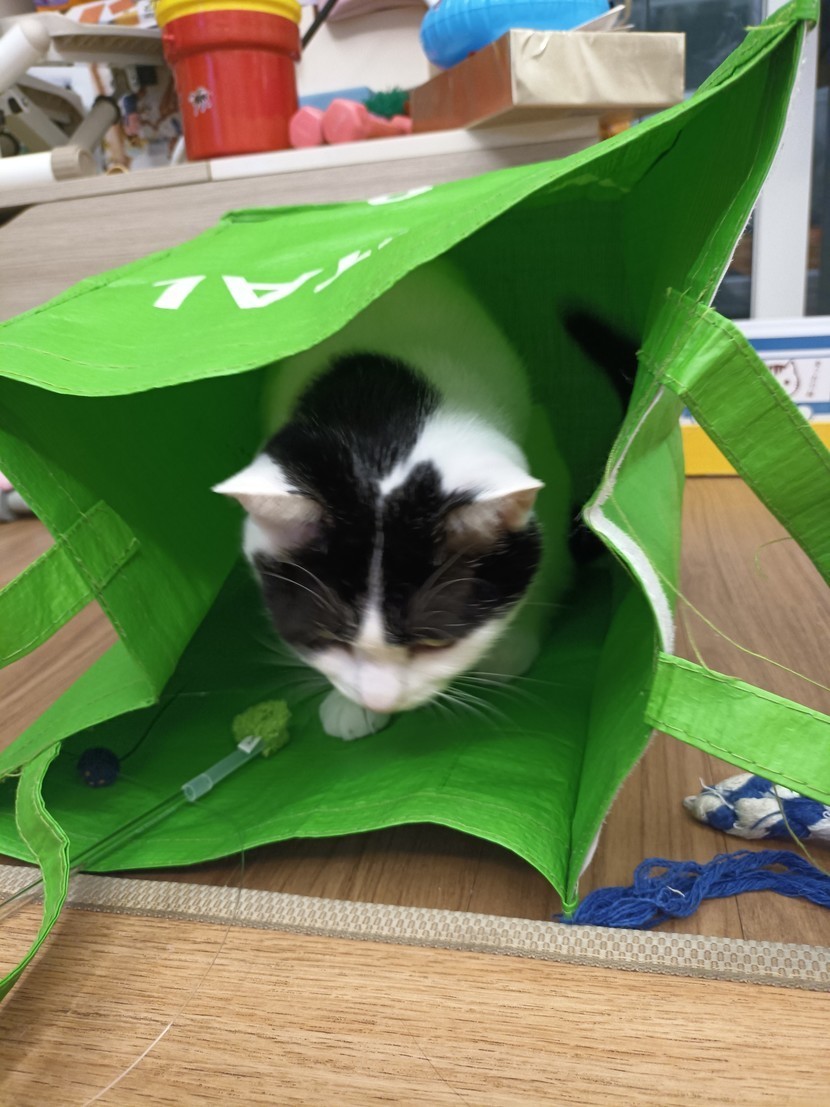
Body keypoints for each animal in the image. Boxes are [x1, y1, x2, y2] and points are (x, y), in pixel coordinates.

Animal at [214, 260, 575, 740]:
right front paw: (353, 709)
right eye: (332, 639)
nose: (379, 699)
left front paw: (511, 642)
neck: (383, 424)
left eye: (435, 641)